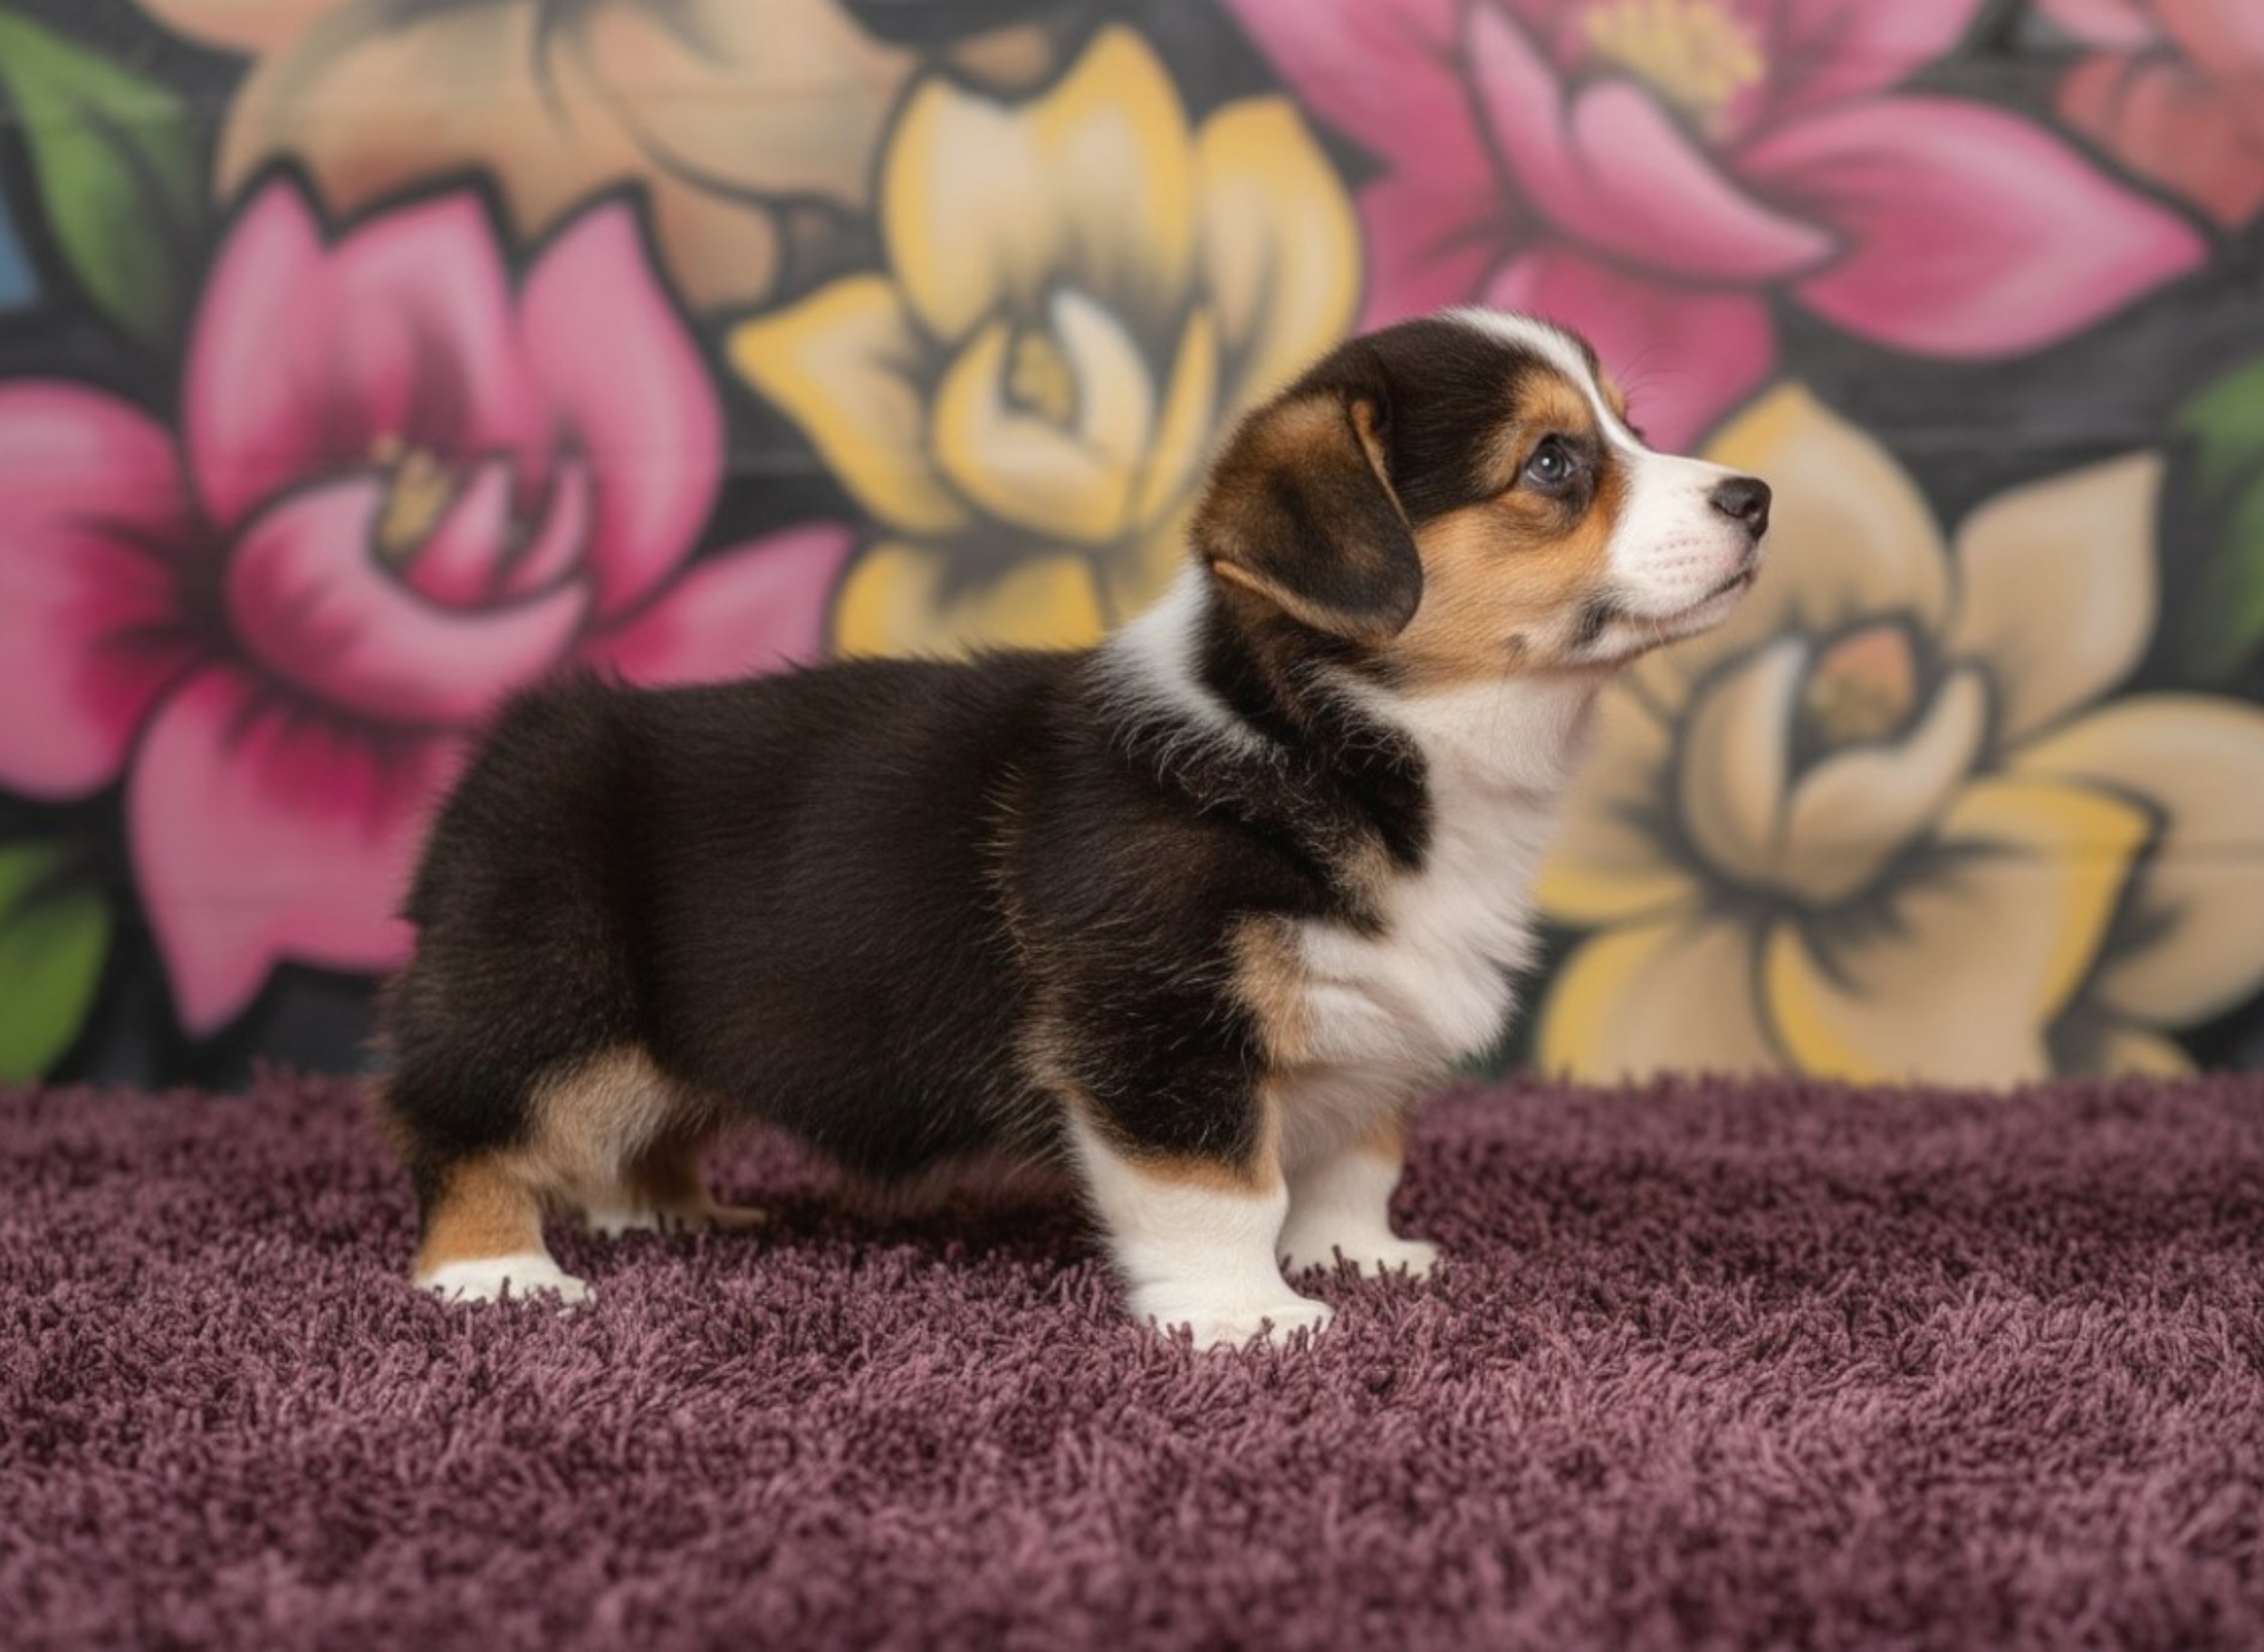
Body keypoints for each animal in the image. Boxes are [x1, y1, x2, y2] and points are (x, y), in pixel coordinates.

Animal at [377, 307, 1770, 1349]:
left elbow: (1349, 1158)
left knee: (632, 1138)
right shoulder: (1157, 1023)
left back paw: (673, 1220)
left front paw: (1360, 1257)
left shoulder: (1363, 1027)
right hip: (545, 1001)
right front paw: (1250, 1315)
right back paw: (497, 1273)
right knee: (473, 1129)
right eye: (1554, 464)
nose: (1755, 496)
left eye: (1633, 427)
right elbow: (1225, 1188)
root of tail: (510, 745)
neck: (1335, 734)